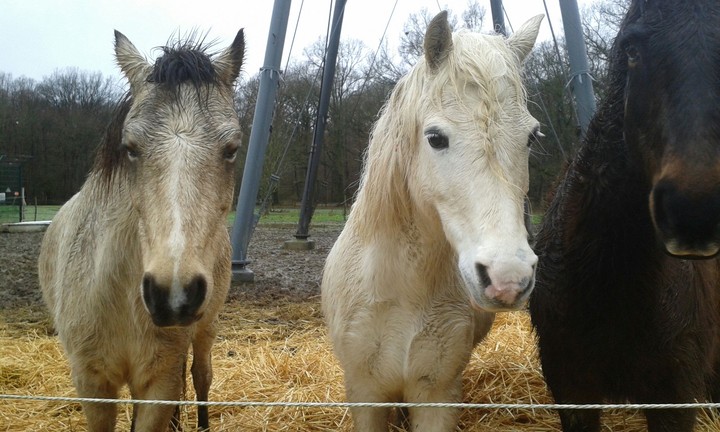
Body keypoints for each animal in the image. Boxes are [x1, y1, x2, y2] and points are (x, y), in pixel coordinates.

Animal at [37, 29, 244, 431]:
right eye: (131, 148)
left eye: (231, 150)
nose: (174, 293)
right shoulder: (93, 385)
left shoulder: (158, 384)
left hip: (206, 327)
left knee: (201, 375)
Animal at [321, 11, 542, 431]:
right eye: (435, 138)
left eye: (532, 137)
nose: (508, 278)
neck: (400, 289)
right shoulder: (366, 395)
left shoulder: (437, 395)